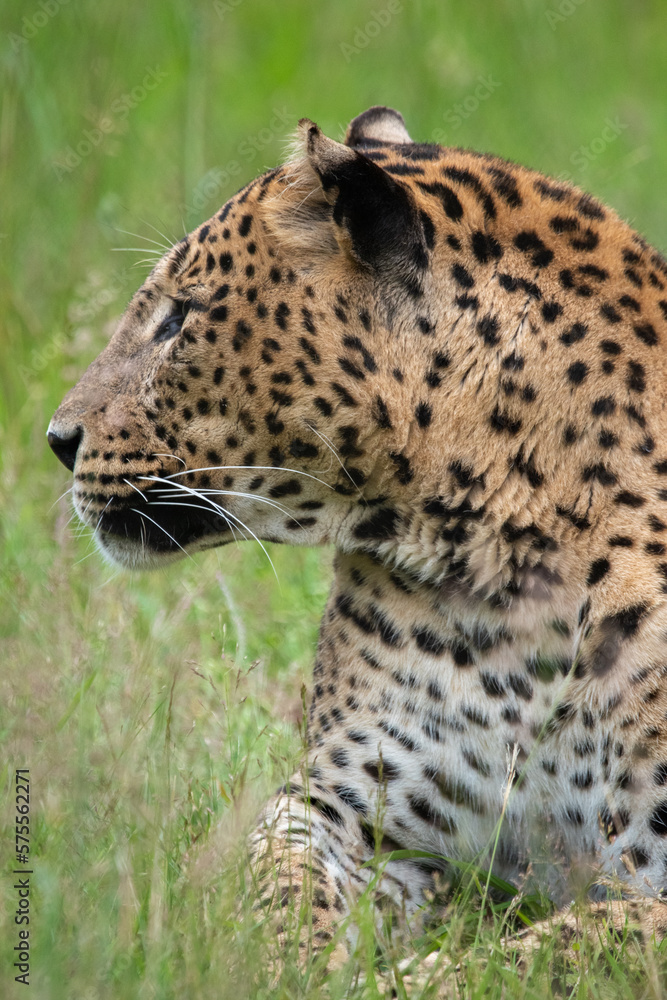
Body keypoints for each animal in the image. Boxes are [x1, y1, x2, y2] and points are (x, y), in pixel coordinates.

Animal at [48, 105, 667, 973]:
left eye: (180, 317)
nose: (57, 438)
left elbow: (563, 943)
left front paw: (419, 977)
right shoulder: (348, 804)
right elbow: (276, 875)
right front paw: (292, 966)